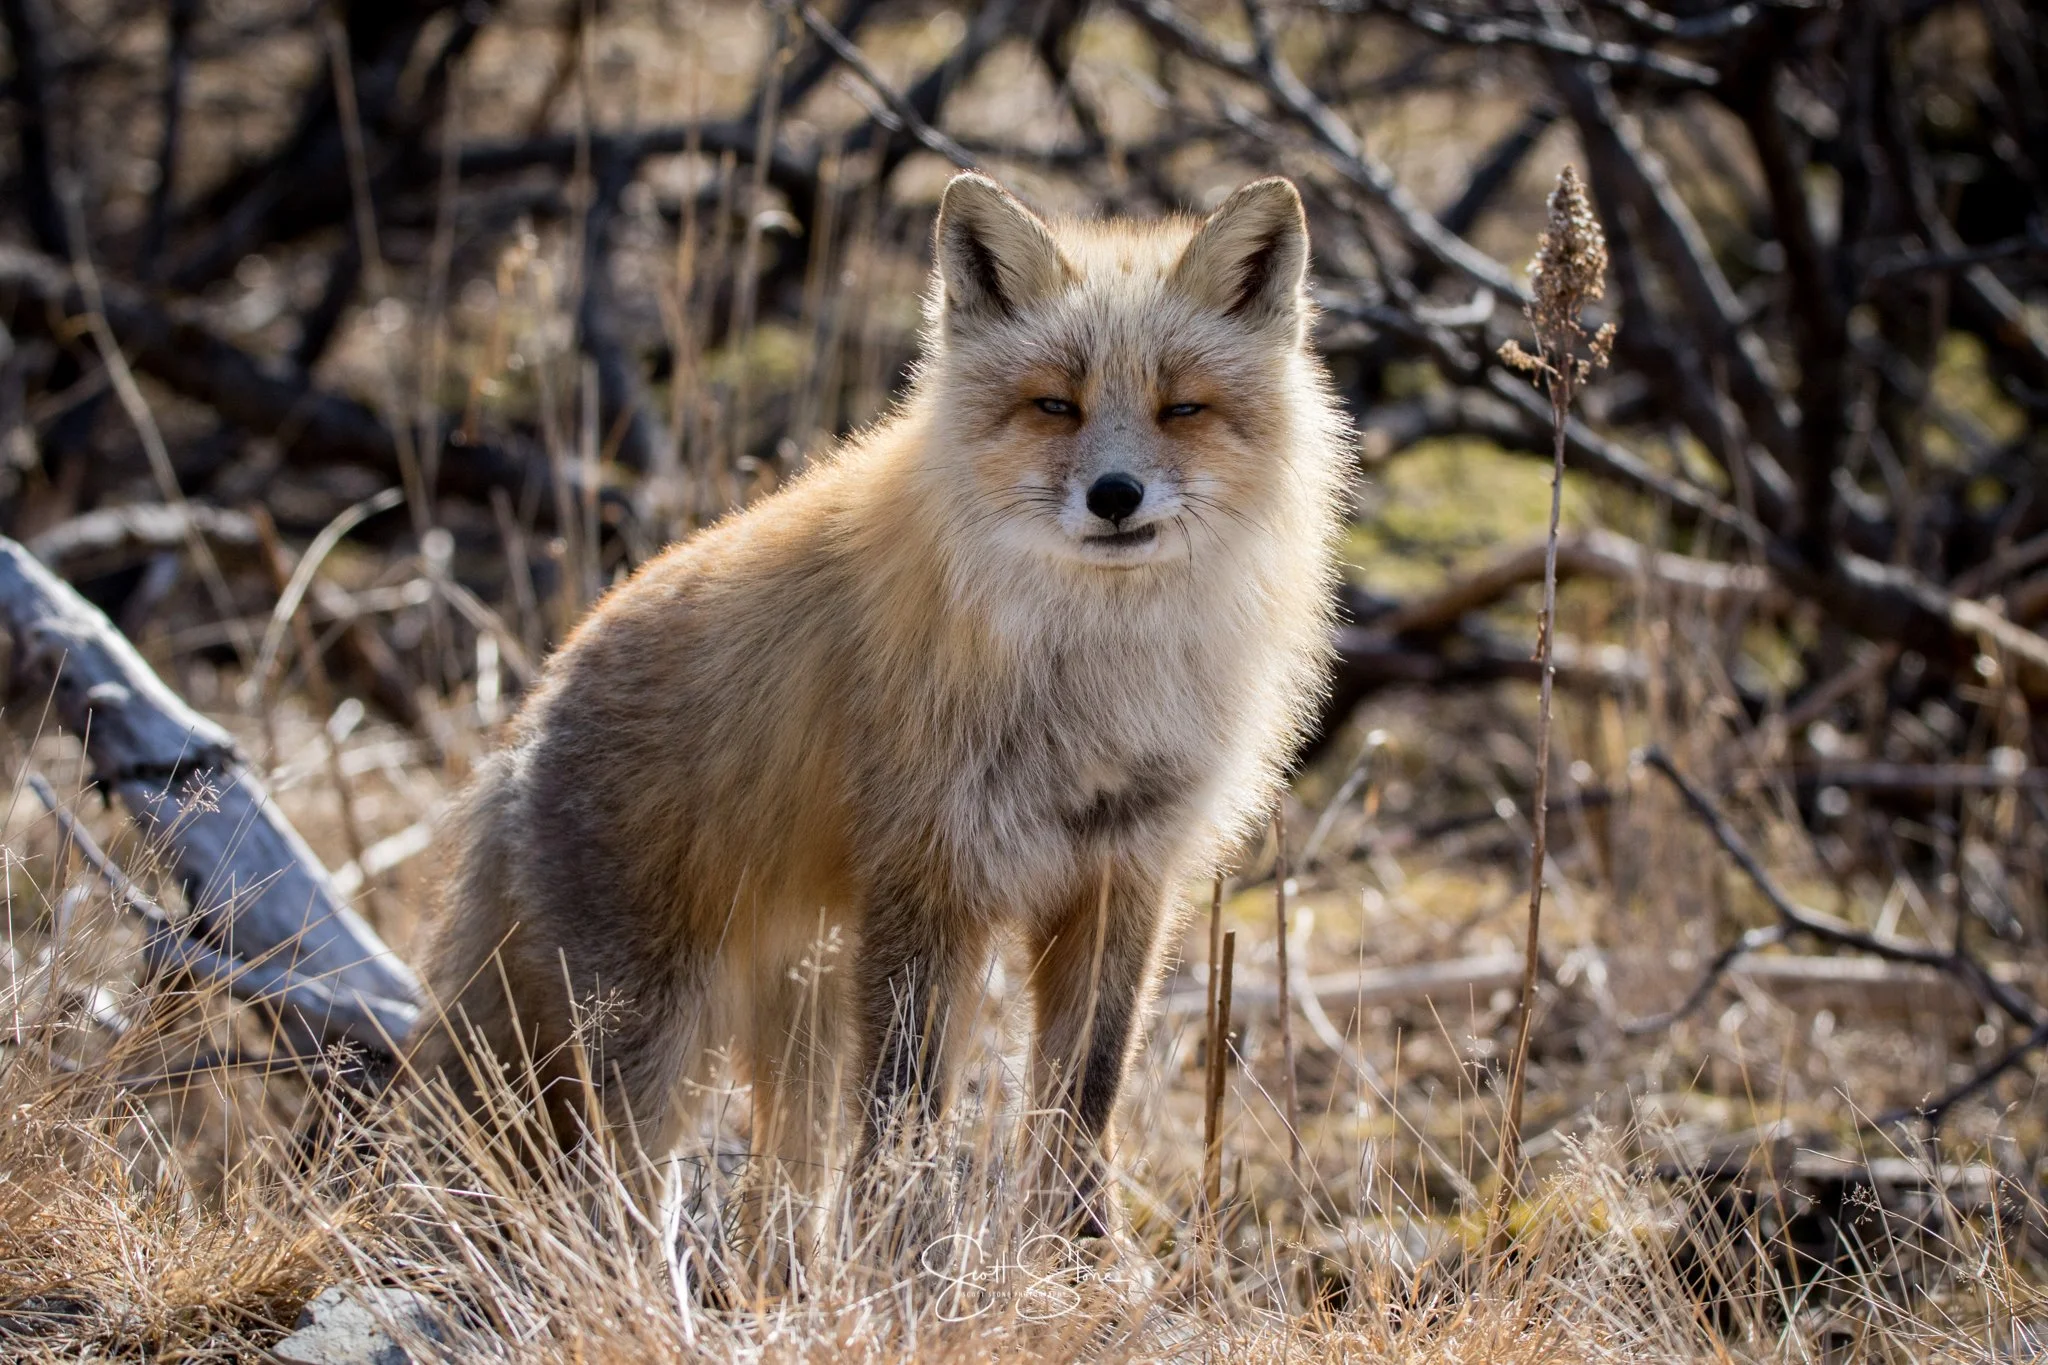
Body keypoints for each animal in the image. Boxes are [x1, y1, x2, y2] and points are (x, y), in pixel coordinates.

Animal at [408, 171, 1348, 1257]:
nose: (1116, 495)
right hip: (649, 1039)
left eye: (1182, 407)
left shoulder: (1121, 874)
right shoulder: (927, 879)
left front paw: (1080, 1259)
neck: (1092, 683)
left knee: (778, 1195)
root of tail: (520, 728)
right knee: (609, 1188)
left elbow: (1082, 1097)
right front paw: (912, 1266)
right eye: (1054, 405)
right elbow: (906, 1115)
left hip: (799, 1025)